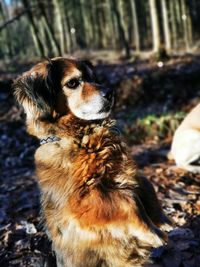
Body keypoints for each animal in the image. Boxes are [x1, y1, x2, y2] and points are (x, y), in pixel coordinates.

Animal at [13, 57, 171, 266]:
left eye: (93, 78)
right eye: (73, 83)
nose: (111, 93)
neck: (80, 136)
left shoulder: (126, 171)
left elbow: (146, 185)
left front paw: (162, 220)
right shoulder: (83, 198)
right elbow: (128, 198)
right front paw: (152, 232)